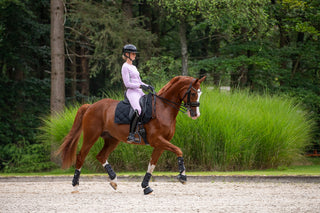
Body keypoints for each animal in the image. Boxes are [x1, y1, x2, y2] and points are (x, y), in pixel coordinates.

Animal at [56, 75, 206, 194]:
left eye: (200, 93)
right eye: (193, 93)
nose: (196, 114)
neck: (163, 108)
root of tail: (90, 106)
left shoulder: (160, 144)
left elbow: (152, 164)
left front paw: (146, 187)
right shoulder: (157, 140)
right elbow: (178, 150)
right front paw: (183, 177)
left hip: (112, 139)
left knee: (101, 156)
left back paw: (114, 181)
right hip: (91, 136)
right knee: (81, 157)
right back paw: (75, 186)